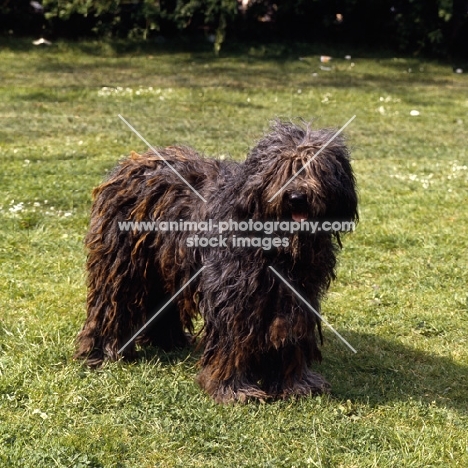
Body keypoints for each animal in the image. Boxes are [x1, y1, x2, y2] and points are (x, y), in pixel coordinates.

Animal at [75, 119, 356, 402]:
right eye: (282, 167)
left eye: (317, 168)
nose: (296, 197)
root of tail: (131, 163)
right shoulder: (233, 291)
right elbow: (232, 338)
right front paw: (233, 389)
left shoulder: (295, 293)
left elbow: (290, 333)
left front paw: (295, 385)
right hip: (121, 264)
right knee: (110, 303)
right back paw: (101, 352)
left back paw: (168, 340)